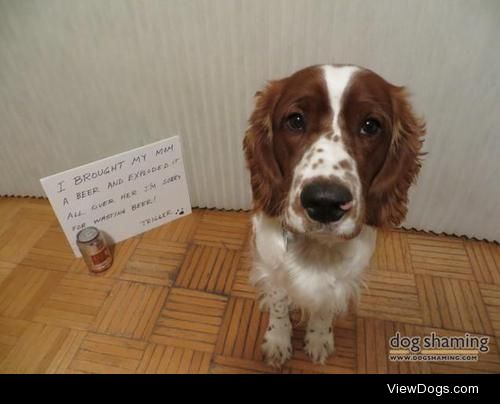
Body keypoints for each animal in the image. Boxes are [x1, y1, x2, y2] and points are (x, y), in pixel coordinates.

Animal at [242, 63, 426, 366]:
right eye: (295, 120)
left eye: (370, 126)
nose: (325, 201)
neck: (316, 248)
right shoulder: (273, 265)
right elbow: (279, 303)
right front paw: (278, 341)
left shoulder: (342, 278)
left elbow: (324, 308)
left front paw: (318, 338)